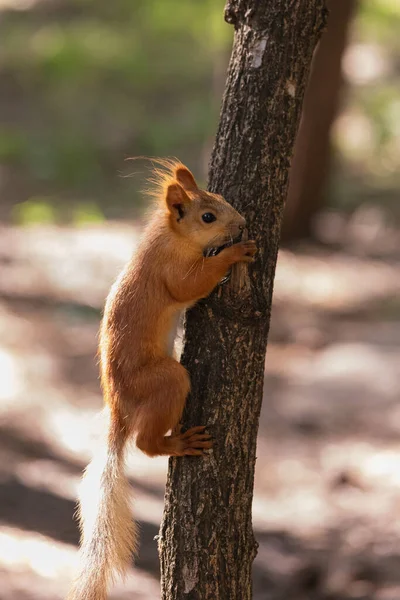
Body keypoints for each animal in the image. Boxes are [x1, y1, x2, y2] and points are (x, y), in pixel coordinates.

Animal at [66, 161, 256, 600]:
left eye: (221, 198)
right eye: (208, 216)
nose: (241, 224)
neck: (168, 237)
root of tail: (119, 408)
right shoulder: (171, 269)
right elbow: (190, 285)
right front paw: (236, 253)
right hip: (166, 381)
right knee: (145, 444)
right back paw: (178, 443)